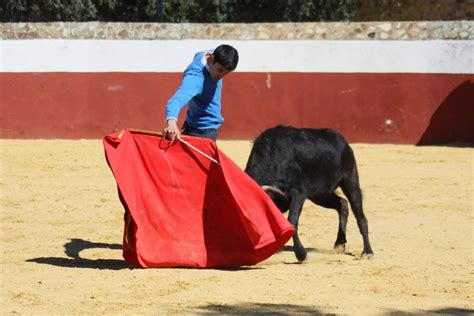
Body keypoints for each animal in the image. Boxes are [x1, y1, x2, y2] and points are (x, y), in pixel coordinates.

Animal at [244, 126, 374, 262]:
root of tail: (343, 142)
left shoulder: (298, 193)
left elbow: (292, 221)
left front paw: (301, 254)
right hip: (319, 194)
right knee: (342, 203)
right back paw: (339, 243)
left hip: (350, 181)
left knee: (360, 216)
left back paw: (367, 252)